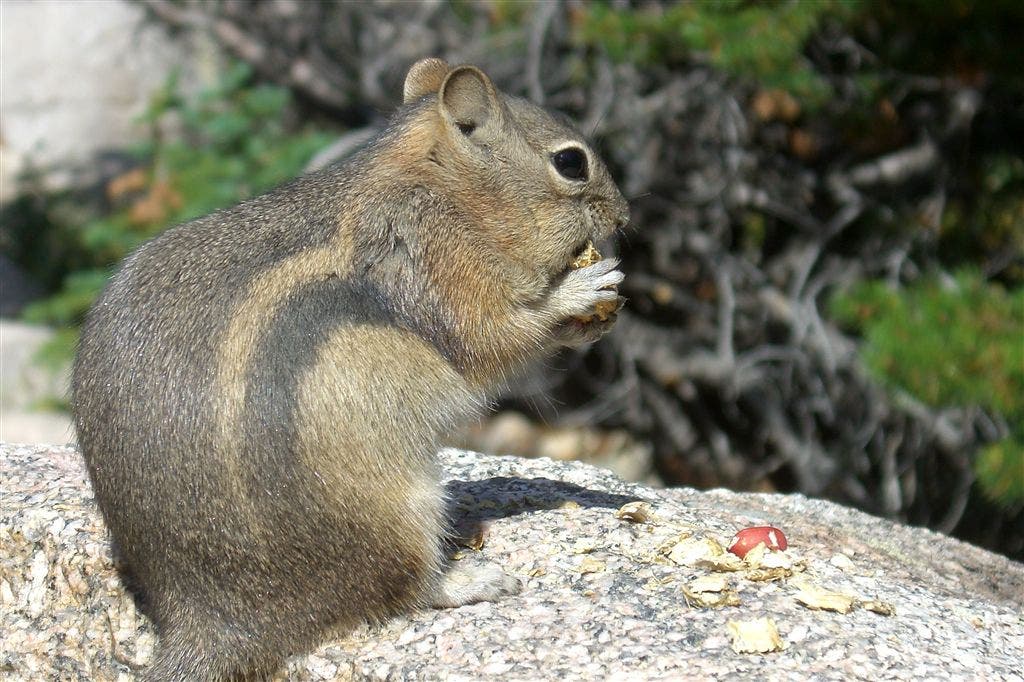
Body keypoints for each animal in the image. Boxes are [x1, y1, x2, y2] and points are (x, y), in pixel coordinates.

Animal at [72, 58, 628, 681]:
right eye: (571, 163)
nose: (625, 214)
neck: (441, 189)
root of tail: (216, 621)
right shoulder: (440, 264)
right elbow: (494, 337)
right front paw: (582, 292)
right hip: (402, 508)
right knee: (402, 590)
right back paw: (472, 580)